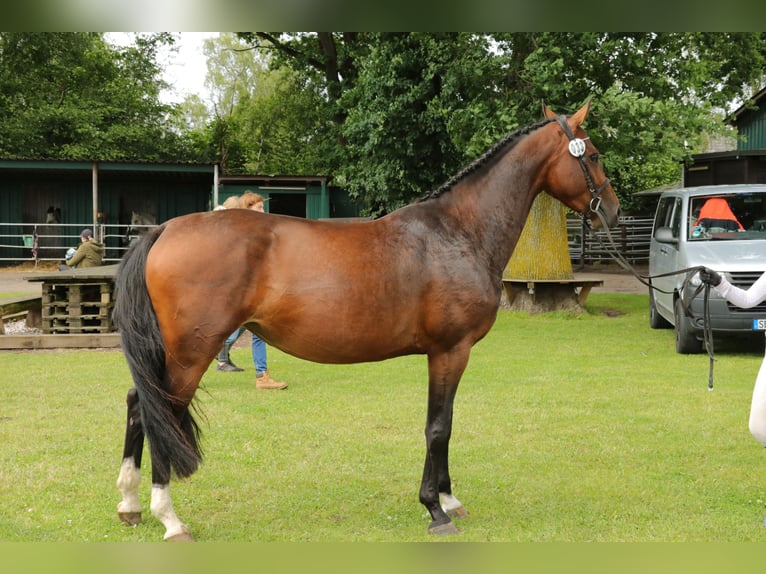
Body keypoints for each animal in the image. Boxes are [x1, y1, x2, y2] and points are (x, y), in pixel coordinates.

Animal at [114, 101, 620, 544]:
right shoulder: (450, 350)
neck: (458, 232)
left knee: (139, 404)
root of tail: (164, 229)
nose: (612, 211)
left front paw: (449, 499)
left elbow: (445, 423)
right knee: (161, 411)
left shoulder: (446, 353)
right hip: (192, 351)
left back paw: (130, 505)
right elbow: (439, 427)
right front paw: (435, 509)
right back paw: (170, 519)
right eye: (593, 155)